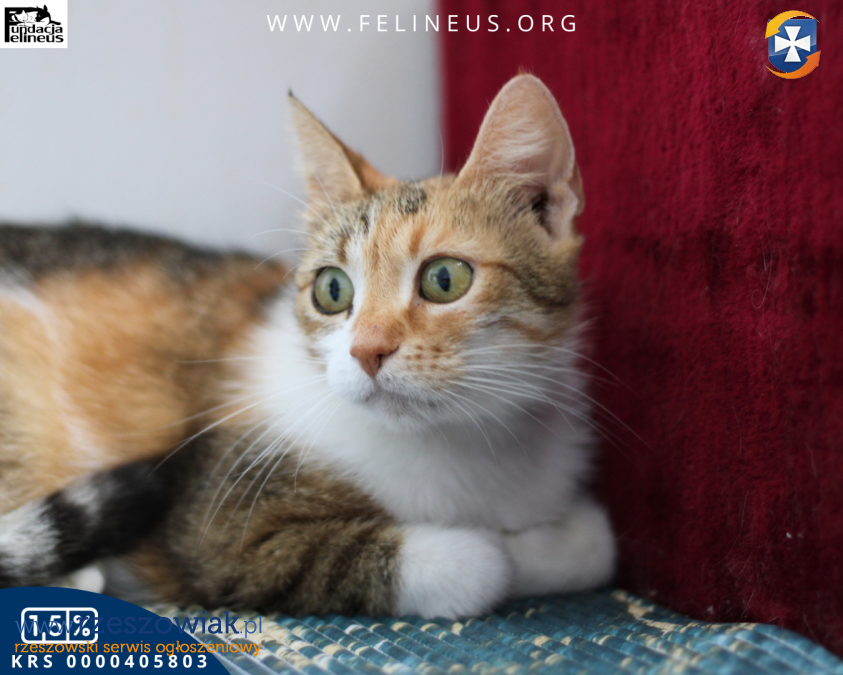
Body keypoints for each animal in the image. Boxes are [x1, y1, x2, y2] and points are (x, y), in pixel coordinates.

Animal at [0, 75, 615, 618]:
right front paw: (496, 551)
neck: (453, 440)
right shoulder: (217, 527)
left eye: (445, 279)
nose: (367, 350)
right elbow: (471, 564)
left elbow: (597, 542)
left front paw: (537, 544)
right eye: (332, 289)